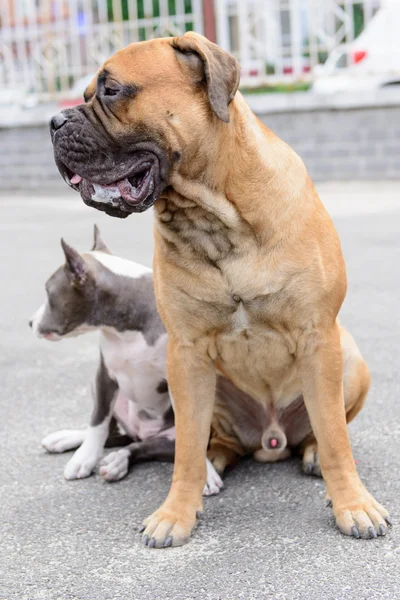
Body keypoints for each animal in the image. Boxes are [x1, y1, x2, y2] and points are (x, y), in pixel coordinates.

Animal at [29, 227, 223, 494]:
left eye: (49, 293)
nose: (29, 322)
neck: (125, 329)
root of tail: (140, 433)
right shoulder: (104, 376)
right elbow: (98, 422)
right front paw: (84, 458)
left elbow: (192, 431)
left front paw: (205, 474)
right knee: (110, 430)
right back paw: (68, 439)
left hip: (166, 436)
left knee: (139, 447)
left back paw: (117, 462)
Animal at [50, 31, 390, 548]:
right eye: (86, 93)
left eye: (110, 90)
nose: (53, 121)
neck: (213, 215)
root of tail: (271, 441)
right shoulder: (186, 354)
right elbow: (187, 447)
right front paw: (176, 513)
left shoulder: (318, 336)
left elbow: (335, 436)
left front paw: (353, 505)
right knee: (208, 442)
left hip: (349, 359)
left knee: (319, 431)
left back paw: (308, 454)